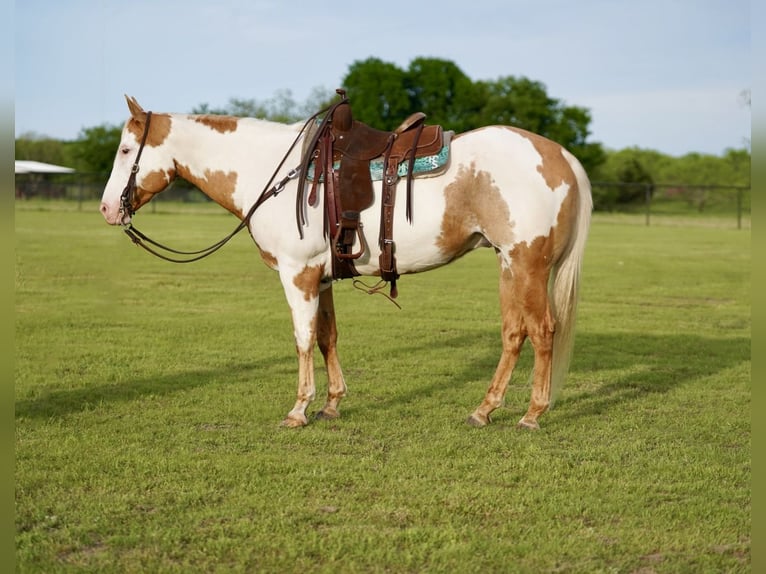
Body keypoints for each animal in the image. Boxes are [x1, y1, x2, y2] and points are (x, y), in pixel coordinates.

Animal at [100, 95, 592, 428]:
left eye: (125, 151)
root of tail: (560, 155)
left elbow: (302, 339)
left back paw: (532, 414)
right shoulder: (321, 277)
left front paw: (298, 409)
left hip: (528, 266)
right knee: (514, 334)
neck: (274, 172)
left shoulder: (297, 274)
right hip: (509, 266)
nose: (107, 209)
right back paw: (484, 410)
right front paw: (332, 403)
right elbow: (327, 338)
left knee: (542, 331)